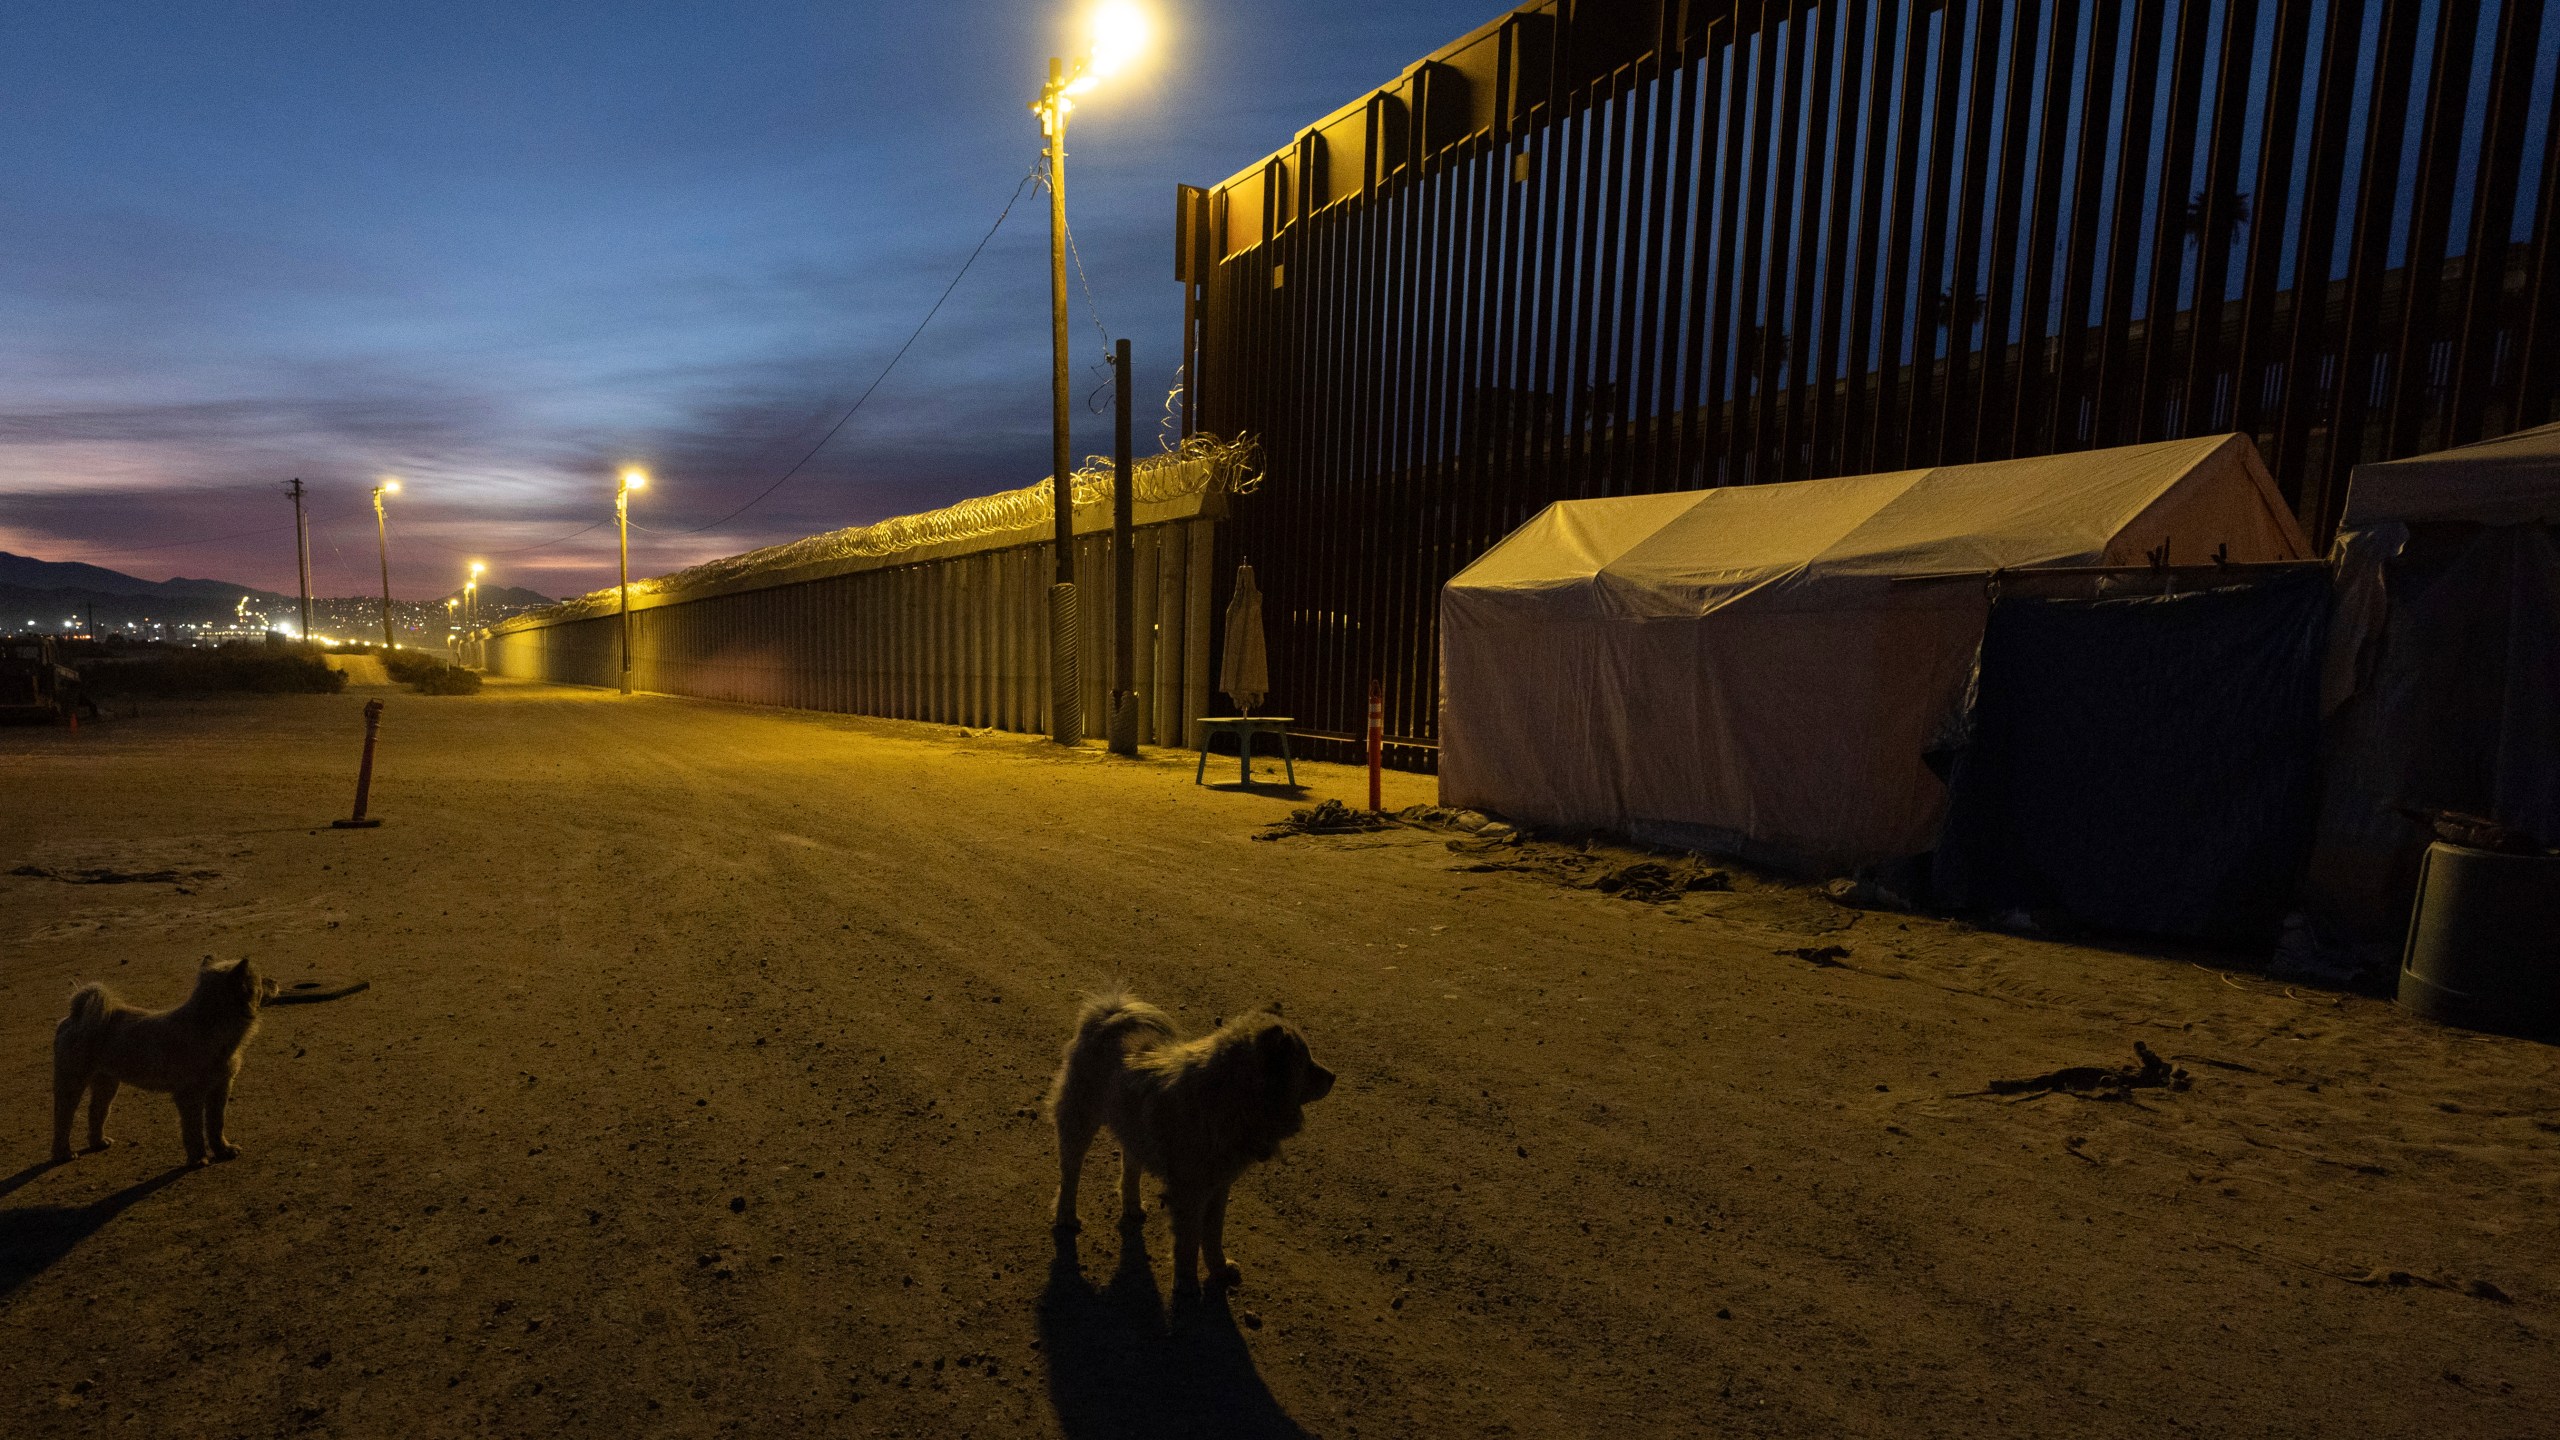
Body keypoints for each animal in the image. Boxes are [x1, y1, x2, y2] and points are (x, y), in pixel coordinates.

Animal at [50, 953, 275, 1168]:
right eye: (260, 980)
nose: (273, 980)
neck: (209, 1025)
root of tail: (74, 1018)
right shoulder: (189, 1096)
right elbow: (193, 1129)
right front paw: (198, 1159)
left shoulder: (220, 1089)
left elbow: (216, 1124)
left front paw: (223, 1150)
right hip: (72, 1083)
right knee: (63, 1118)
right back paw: (63, 1153)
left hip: (107, 1084)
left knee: (96, 1110)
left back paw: (98, 1142)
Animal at [1054, 994, 1351, 1281]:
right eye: (1307, 1064)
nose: (1334, 1077)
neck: (1231, 1099)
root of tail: (1108, 1016)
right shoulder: (1190, 1194)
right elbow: (1188, 1245)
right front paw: (1187, 1284)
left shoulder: (1218, 1187)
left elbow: (1212, 1237)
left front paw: (1219, 1269)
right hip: (1079, 1122)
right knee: (1071, 1173)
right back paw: (1067, 1215)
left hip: (1134, 1129)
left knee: (1130, 1164)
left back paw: (1132, 1205)